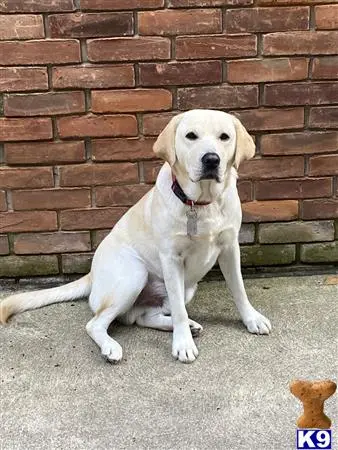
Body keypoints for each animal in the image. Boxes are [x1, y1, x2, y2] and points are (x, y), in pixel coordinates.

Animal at [0, 108, 270, 362]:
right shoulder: (171, 258)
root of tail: (91, 274)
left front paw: (251, 319)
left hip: (186, 288)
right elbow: (180, 310)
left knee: (144, 317)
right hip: (134, 275)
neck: (201, 203)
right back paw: (112, 347)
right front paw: (183, 344)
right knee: (97, 323)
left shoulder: (230, 248)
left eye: (224, 137)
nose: (212, 160)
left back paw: (184, 326)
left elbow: (239, 289)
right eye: (191, 136)